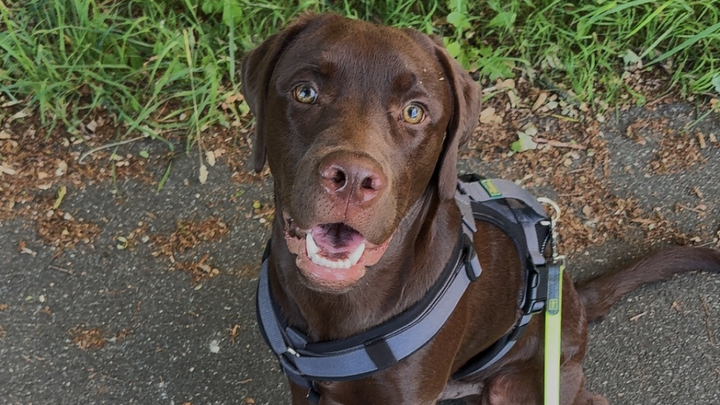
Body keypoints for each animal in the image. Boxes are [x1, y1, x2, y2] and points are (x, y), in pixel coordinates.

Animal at [241, 13, 720, 404]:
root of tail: (571, 298)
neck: (337, 306)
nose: (354, 179)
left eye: (414, 112)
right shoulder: (301, 386)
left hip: (517, 386)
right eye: (305, 91)